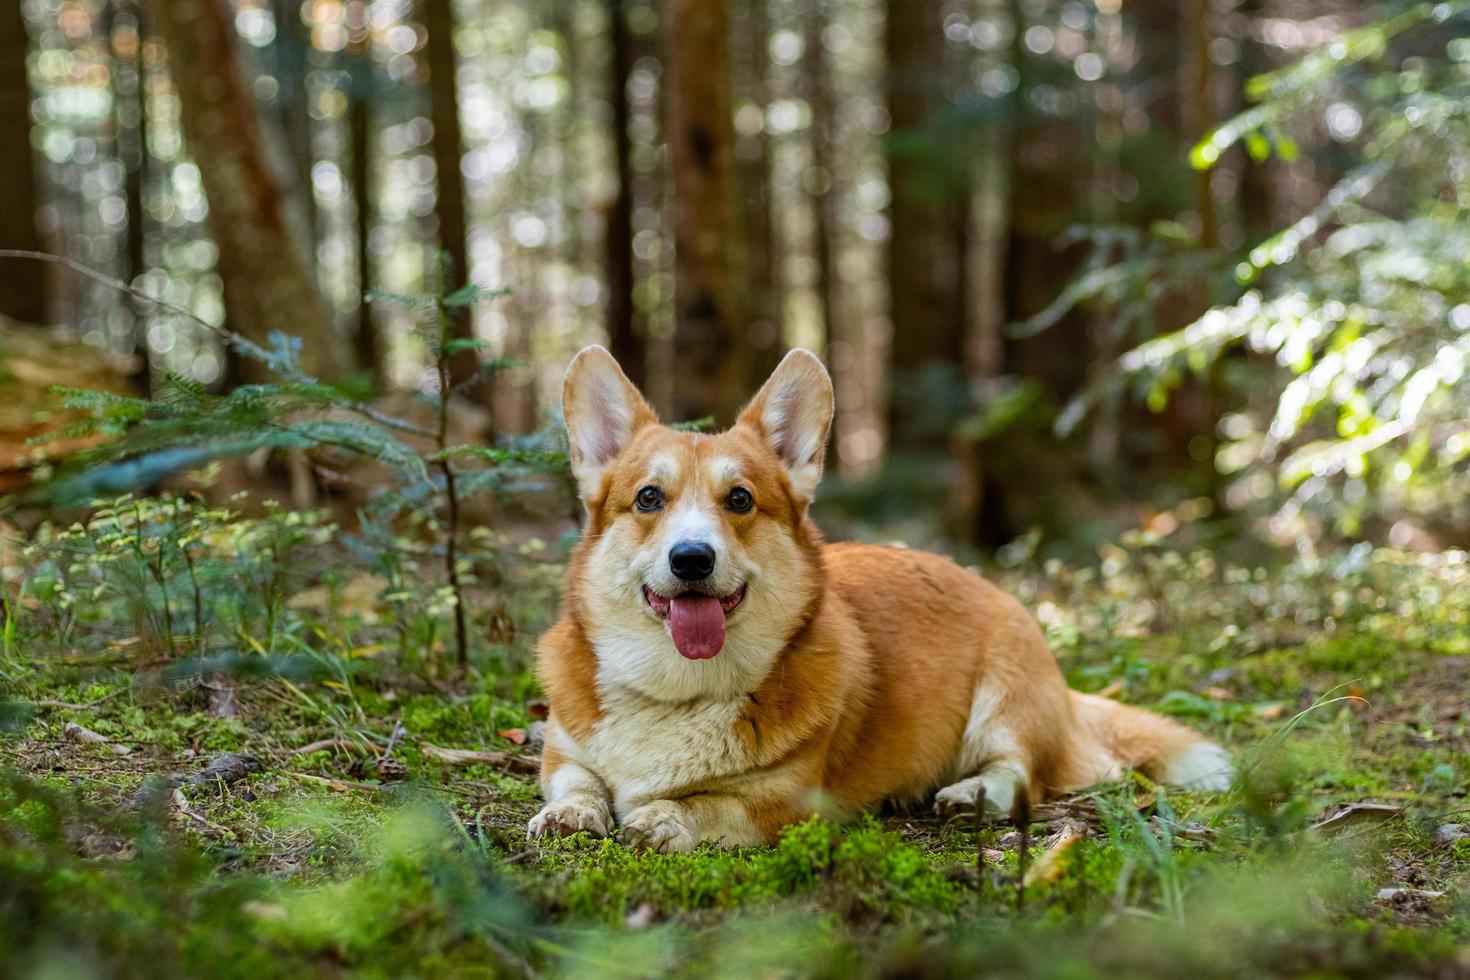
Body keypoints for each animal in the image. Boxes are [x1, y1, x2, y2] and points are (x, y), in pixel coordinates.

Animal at [529, 348, 1228, 852]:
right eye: (648, 498)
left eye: (740, 499)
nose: (692, 559)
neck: (678, 692)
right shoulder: (563, 752)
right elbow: (575, 782)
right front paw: (569, 813)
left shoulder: (789, 801)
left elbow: (715, 804)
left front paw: (665, 816)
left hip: (1005, 693)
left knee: (1019, 769)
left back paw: (971, 793)